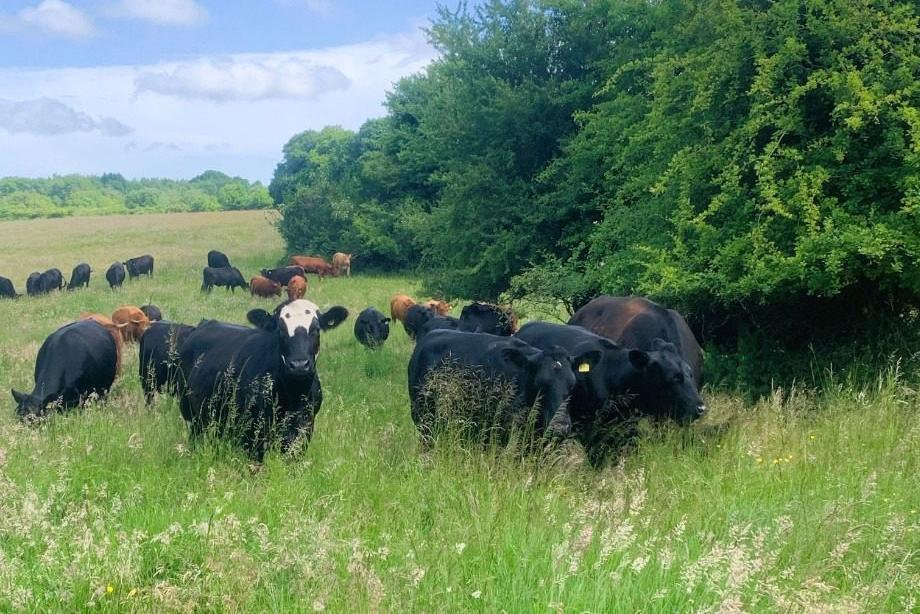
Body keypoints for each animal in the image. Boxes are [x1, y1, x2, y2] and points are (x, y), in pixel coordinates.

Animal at [177, 299, 349, 460]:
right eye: (280, 330)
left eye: (316, 330)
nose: (299, 365)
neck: (292, 395)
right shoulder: (253, 430)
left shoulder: (305, 427)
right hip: (192, 414)